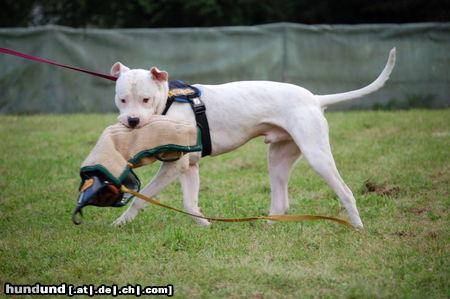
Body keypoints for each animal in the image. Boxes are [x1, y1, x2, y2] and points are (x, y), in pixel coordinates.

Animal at [110, 48, 396, 230]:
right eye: (122, 99)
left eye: (145, 99)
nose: (132, 121)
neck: (167, 104)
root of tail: (315, 99)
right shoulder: (187, 166)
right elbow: (190, 202)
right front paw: (204, 223)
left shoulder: (174, 166)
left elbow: (141, 197)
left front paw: (119, 223)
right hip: (278, 158)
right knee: (281, 201)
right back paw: (269, 226)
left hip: (317, 156)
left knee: (345, 192)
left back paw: (357, 227)